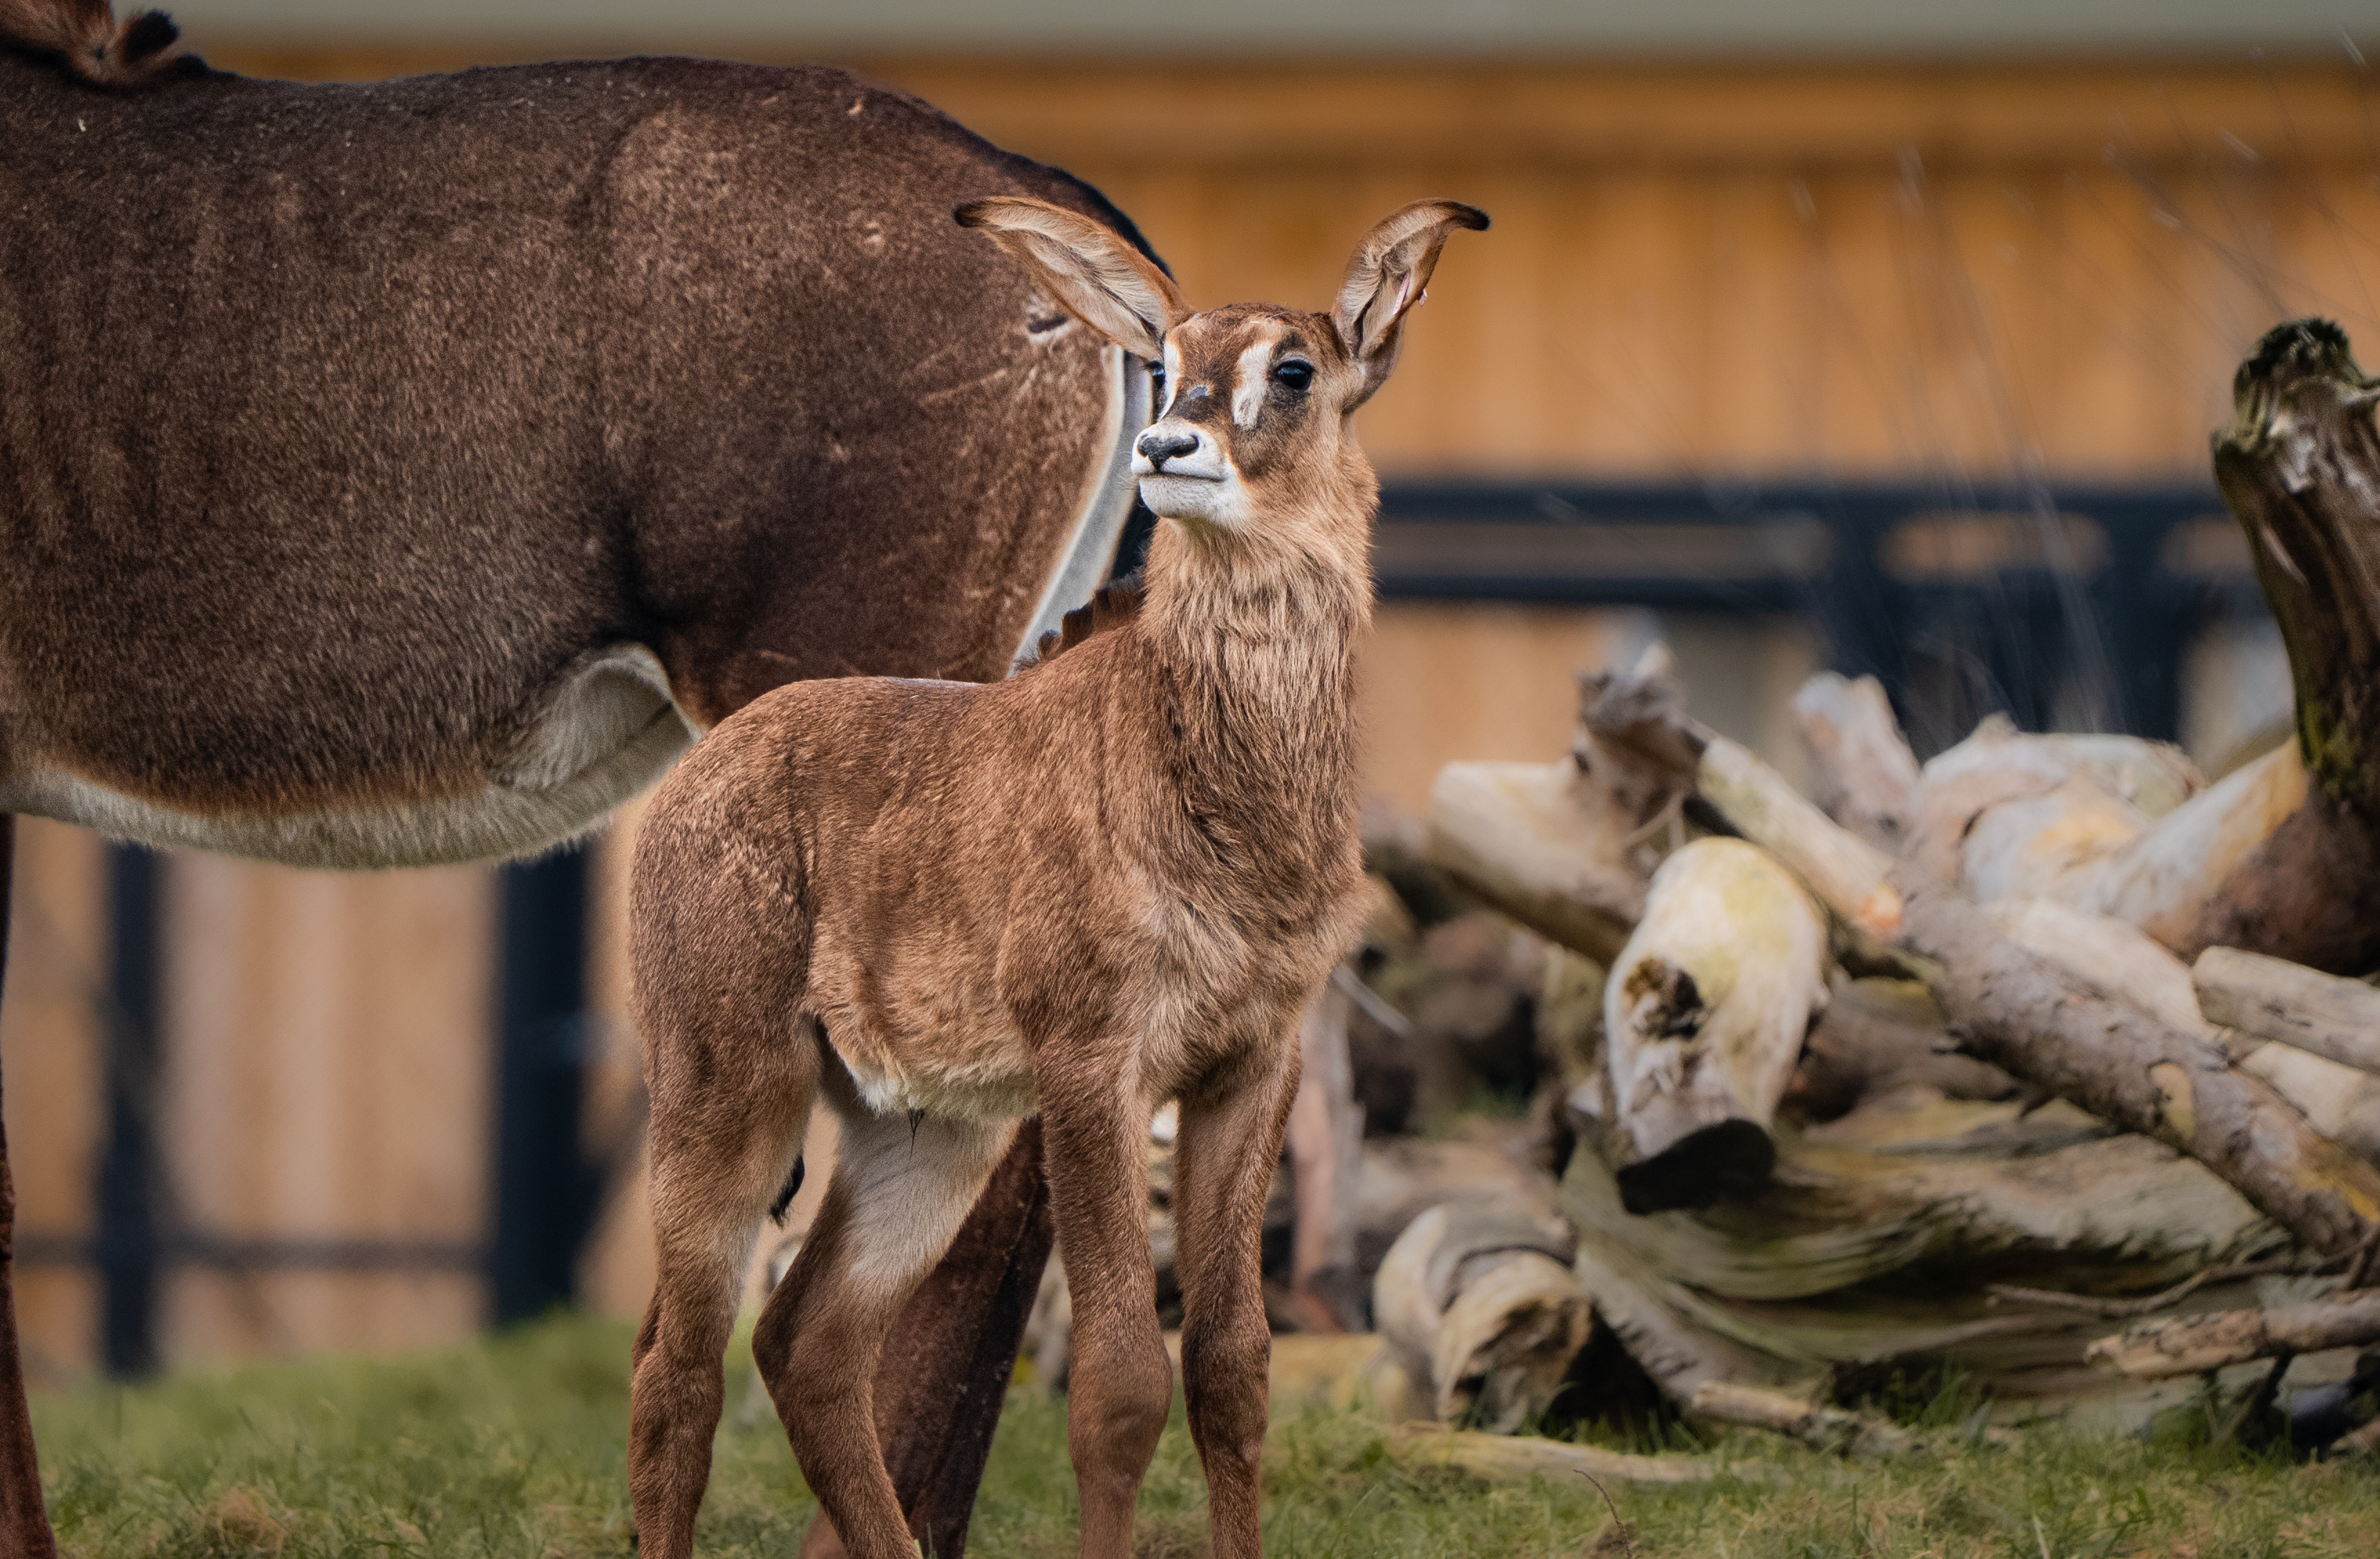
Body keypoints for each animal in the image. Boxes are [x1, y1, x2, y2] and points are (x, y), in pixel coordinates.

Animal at [627, 195, 1485, 1559]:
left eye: (1294, 368)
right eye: (1167, 355)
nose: (1167, 442)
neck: (1223, 799)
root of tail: (688, 784)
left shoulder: (1252, 1062)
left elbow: (1232, 1371)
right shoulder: (1093, 1062)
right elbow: (1119, 1382)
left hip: (926, 1128)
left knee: (806, 1343)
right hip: (727, 1084)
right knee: (676, 1370)